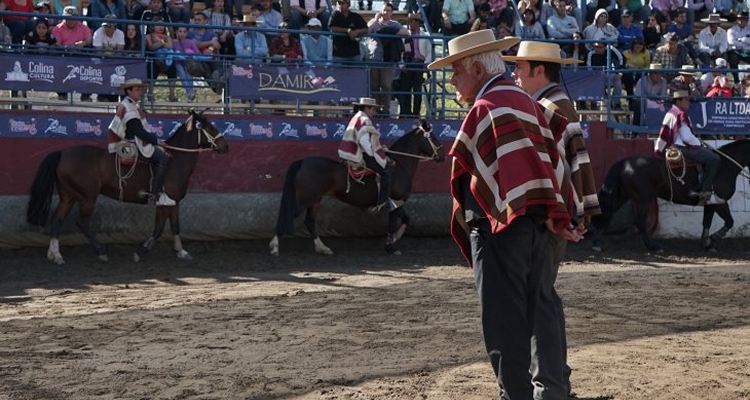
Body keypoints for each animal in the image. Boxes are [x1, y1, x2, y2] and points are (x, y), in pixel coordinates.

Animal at [27, 111, 229, 264]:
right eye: (210, 127)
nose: (225, 146)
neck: (175, 161)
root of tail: (63, 153)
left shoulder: (174, 202)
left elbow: (175, 226)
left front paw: (181, 251)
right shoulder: (163, 203)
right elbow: (158, 229)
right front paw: (141, 250)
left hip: (68, 197)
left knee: (57, 220)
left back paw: (56, 255)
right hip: (87, 198)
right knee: (81, 223)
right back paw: (100, 251)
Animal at [270, 119, 446, 256]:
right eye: (433, 138)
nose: (443, 156)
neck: (400, 166)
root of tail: (302, 162)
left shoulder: (396, 202)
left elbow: (406, 219)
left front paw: (394, 239)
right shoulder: (395, 201)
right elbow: (393, 223)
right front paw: (392, 246)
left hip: (315, 200)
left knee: (310, 221)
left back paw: (322, 248)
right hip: (305, 199)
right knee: (288, 217)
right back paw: (275, 246)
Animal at [592, 141, 750, 253]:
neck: (725, 166)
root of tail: (625, 162)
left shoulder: (710, 203)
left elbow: (707, 222)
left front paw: (706, 244)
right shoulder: (720, 202)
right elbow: (729, 221)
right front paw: (713, 239)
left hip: (623, 195)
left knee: (608, 212)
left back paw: (596, 243)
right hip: (643, 199)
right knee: (640, 222)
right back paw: (653, 247)